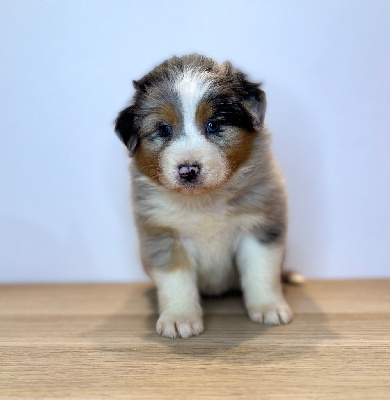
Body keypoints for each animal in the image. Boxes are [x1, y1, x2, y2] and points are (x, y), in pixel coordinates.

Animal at [116, 54, 296, 340]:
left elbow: (261, 271)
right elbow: (176, 280)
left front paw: (269, 308)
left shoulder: (259, 226)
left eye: (213, 125)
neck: (203, 201)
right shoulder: (164, 235)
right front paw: (179, 318)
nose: (188, 170)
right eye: (164, 129)